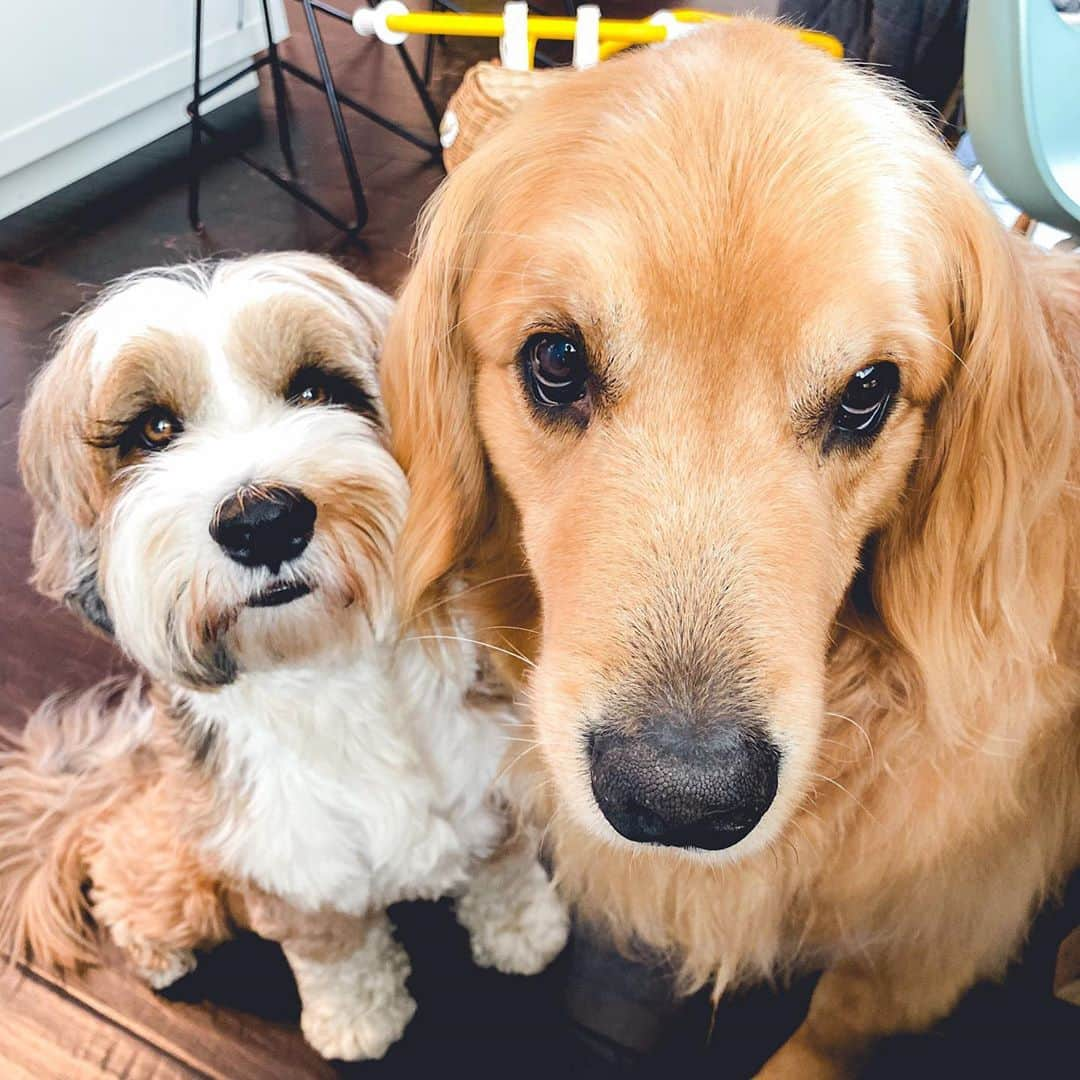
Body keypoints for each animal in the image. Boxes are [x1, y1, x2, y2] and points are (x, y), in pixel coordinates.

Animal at [0, 254, 570, 1062]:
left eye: (316, 388)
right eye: (153, 429)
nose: (263, 520)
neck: (332, 668)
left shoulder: (492, 779)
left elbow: (504, 869)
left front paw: (525, 931)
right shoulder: (288, 867)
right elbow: (335, 953)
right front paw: (357, 1018)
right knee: (120, 863)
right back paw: (157, 953)